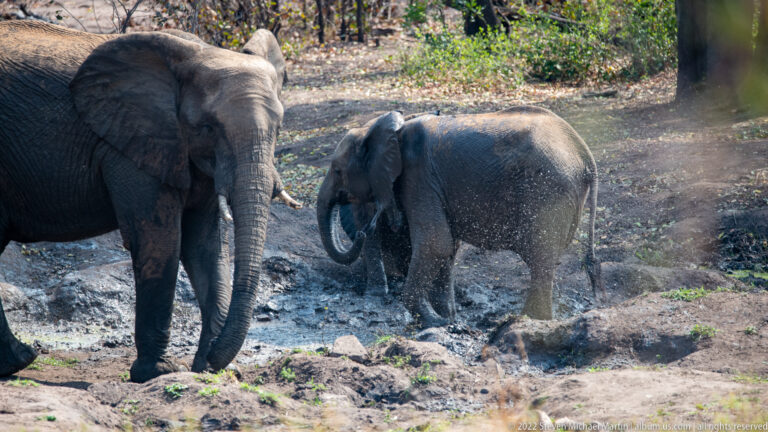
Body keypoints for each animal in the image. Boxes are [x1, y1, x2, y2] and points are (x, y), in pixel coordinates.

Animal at [0, 21, 299, 382]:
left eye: (279, 127)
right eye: (207, 128)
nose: (212, 358)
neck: (196, 54)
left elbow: (205, 246)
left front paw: (213, 370)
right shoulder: (131, 144)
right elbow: (160, 240)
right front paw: (159, 372)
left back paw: (18, 360)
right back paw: (20, 360)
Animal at [316, 107, 603, 327]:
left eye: (337, 170)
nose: (365, 229)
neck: (381, 129)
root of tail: (587, 157)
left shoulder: (418, 178)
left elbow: (435, 242)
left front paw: (433, 322)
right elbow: (447, 248)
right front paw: (449, 318)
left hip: (548, 189)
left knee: (540, 257)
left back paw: (528, 320)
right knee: (544, 260)